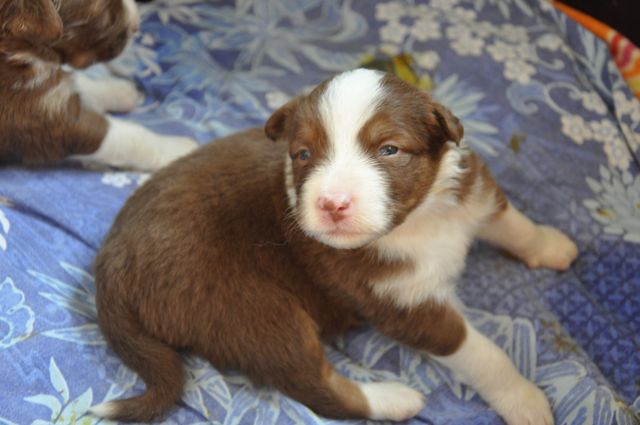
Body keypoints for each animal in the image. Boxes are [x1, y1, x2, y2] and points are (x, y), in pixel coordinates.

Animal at [0, 0, 198, 169]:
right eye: (103, 11)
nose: (137, 23)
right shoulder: (47, 122)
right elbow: (129, 138)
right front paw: (180, 150)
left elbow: (79, 83)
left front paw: (121, 91)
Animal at [91, 68, 580, 422]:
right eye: (303, 154)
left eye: (389, 150)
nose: (331, 203)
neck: (417, 221)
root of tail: (109, 270)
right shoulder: (406, 305)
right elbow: (484, 354)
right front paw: (526, 401)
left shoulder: (472, 192)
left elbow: (513, 223)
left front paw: (553, 246)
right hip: (253, 310)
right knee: (316, 386)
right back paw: (393, 399)